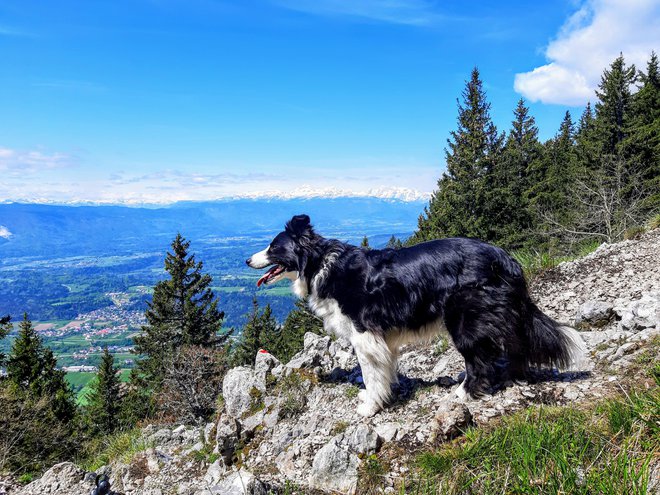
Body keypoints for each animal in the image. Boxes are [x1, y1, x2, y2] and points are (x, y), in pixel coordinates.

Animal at [246, 215, 584, 416]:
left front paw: (370, 407)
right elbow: (384, 371)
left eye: (274, 247)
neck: (319, 264)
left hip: (464, 319)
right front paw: (383, 395)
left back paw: (463, 393)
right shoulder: (381, 339)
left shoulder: (364, 334)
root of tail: (505, 258)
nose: (247, 260)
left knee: (479, 360)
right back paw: (513, 375)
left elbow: (370, 374)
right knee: (513, 344)